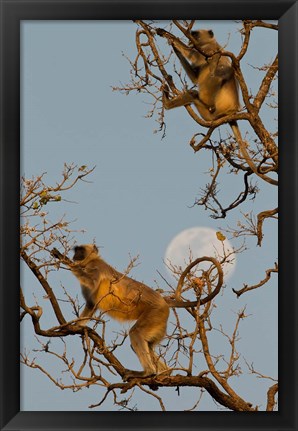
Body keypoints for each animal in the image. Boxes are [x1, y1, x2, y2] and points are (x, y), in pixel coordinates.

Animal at [70, 245, 170, 380]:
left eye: (81, 250)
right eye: (76, 250)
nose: (75, 256)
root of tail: (164, 303)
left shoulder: (96, 266)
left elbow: (90, 282)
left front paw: (62, 258)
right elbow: (91, 304)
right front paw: (76, 326)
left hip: (155, 312)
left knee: (135, 333)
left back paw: (148, 372)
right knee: (148, 344)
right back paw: (165, 373)